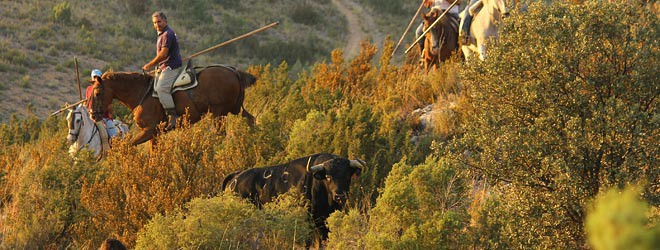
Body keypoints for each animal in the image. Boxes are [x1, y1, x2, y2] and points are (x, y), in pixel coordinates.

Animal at [91, 65, 256, 146]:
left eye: (97, 93)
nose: (93, 115)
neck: (142, 92)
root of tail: (234, 72)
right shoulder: (154, 134)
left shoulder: (149, 131)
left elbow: (128, 145)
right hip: (234, 109)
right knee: (251, 119)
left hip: (218, 112)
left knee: (221, 134)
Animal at [222, 153, 366, 243]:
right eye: (328, 177)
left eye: (347, 176)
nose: (339, 195)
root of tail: (236, 177)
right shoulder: (308, 222)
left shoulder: (324, 222)